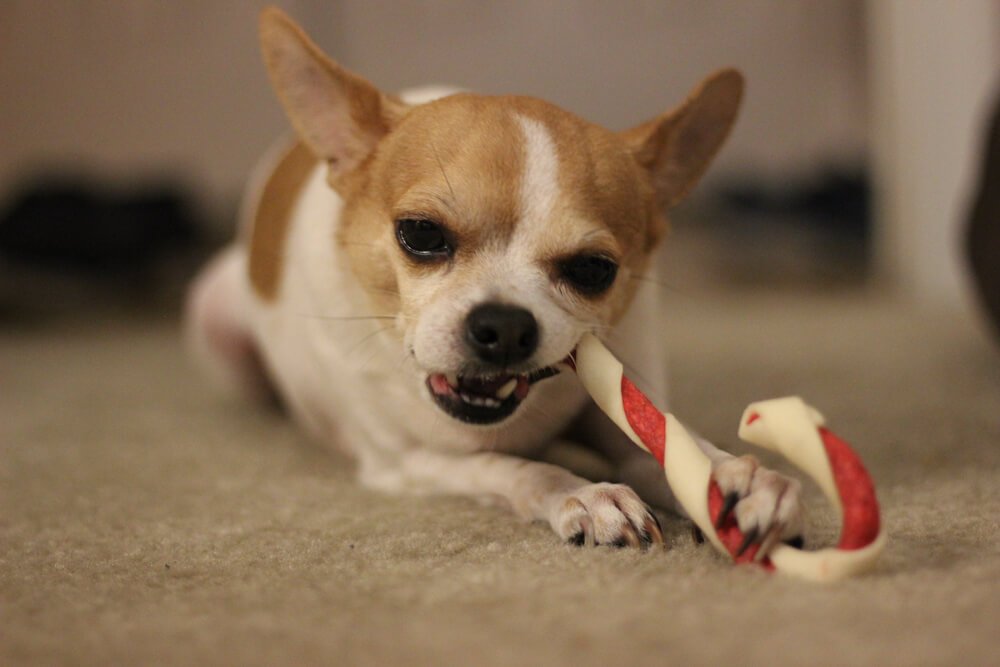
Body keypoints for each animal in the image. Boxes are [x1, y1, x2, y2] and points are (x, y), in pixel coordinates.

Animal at [184, 7, 800, 552]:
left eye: (593, 270)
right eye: (421, 233)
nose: (503, 325)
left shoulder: (618, 402)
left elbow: (667, 443)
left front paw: (733, 477)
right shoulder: (412, 462)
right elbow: (514, 468)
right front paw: (585, 493)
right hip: (214, 311)